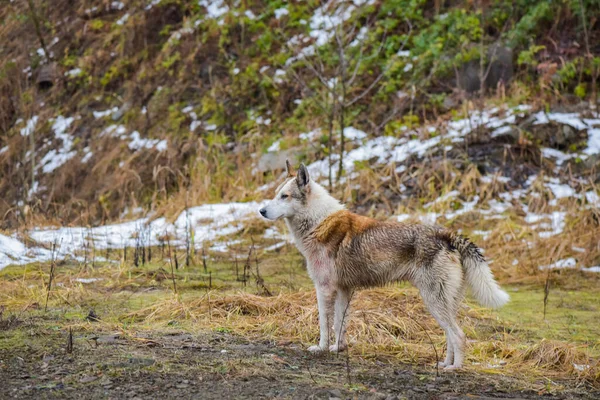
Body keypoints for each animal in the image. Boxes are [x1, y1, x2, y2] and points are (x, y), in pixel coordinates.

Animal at [260, 160, 508, 368]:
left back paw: (454, 369)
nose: (261, 211)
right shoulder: (343, 290)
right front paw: (337, 349)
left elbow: (324, 324)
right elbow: (340, 324)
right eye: (275, 195)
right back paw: (445, 364)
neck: (318, 223)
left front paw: (320, 348)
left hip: (433, 301)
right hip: (444, 304)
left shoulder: (324, 289)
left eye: (285, 196)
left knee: (459, 335)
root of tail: (446, 235)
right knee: (450, 335)